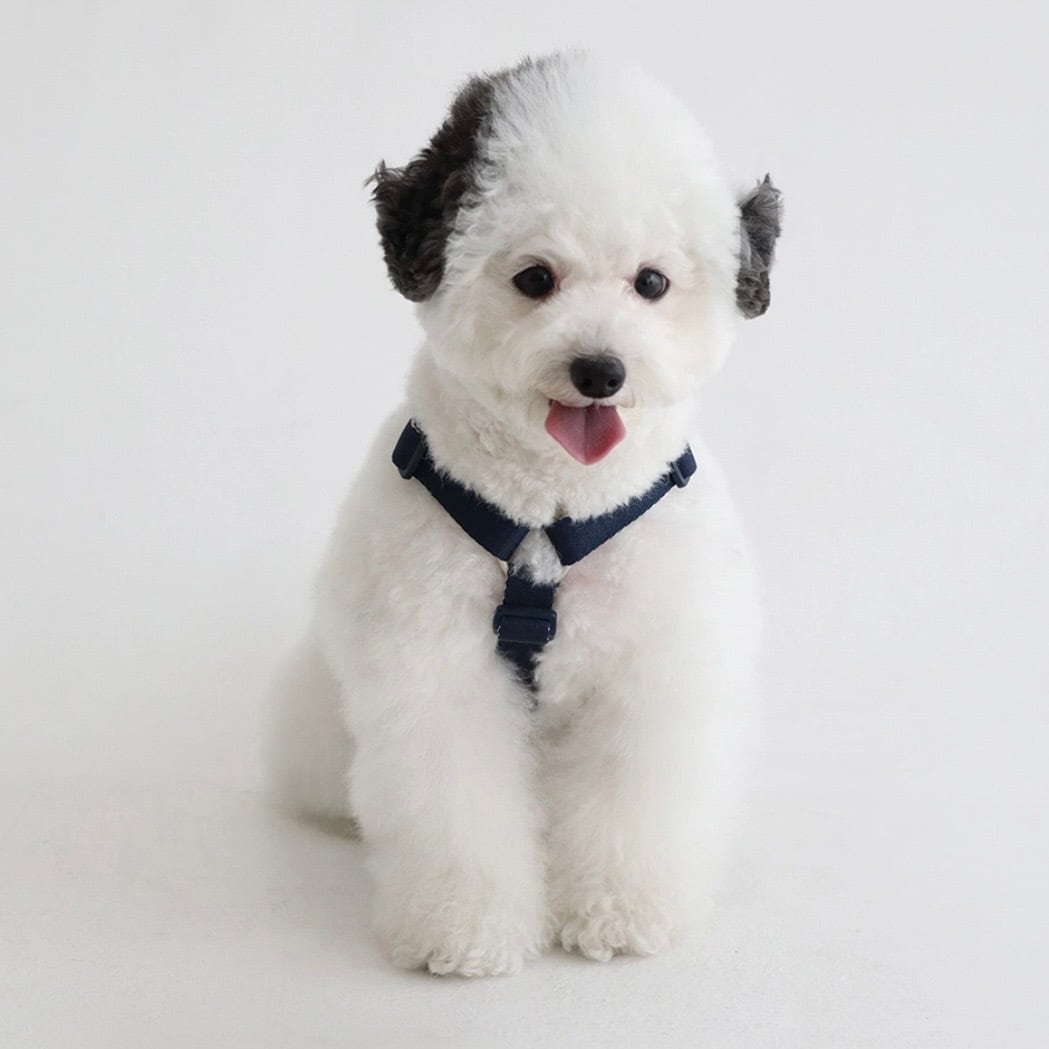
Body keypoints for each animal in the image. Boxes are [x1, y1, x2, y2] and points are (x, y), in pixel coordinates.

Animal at [266, 50, 781, 976]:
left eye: (652, 282)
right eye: (534, 278)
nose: (600, 370)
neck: (548, 515)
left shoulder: (649, 672)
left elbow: (628, 798)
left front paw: (619, 910)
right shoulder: (436, 672)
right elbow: (454, 805)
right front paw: (462, 925)